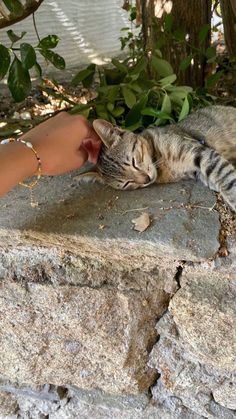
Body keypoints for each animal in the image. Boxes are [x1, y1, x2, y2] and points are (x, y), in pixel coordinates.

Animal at [83, 106, 236, 212]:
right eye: (127, 183)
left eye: (133, 162)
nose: (146, 180)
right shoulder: (198, 170)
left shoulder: (200, 152)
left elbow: (226, 179)